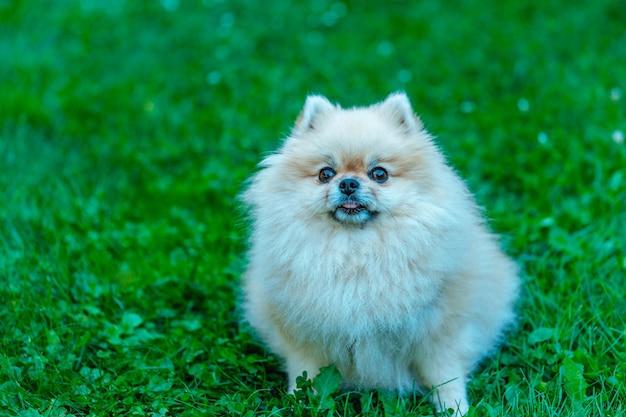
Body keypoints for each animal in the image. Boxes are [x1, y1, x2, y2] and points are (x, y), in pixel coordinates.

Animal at [241, 92, 520, 414]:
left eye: (379, 174)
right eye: (325, 174)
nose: (348, 183)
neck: (357, 252)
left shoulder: (441, 330)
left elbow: (445, 374)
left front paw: (455, 408)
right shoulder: (303, 333)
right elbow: (304, 371)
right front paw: (299, 402)